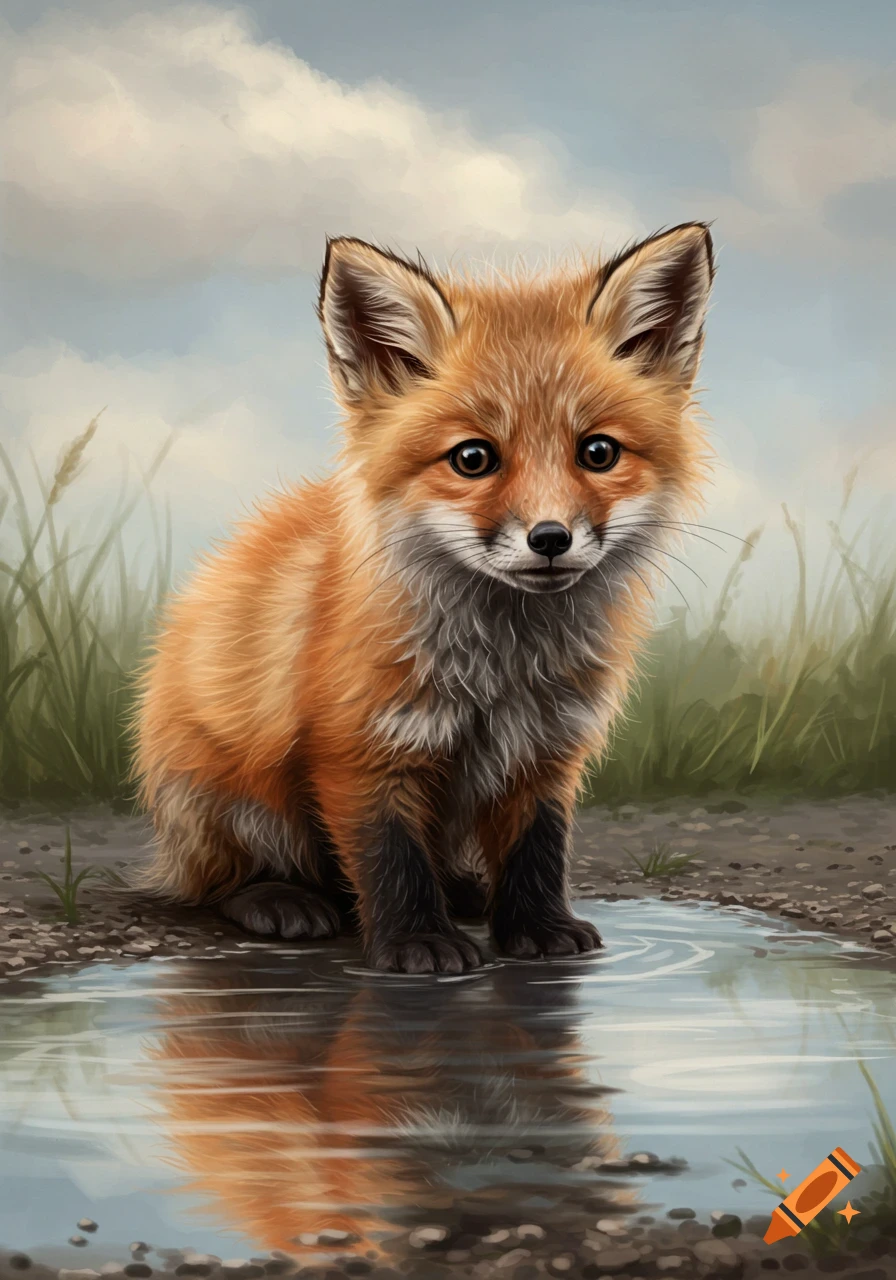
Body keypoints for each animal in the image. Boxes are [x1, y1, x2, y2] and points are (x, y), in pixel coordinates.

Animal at [131, 221, 715, 975]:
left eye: (598, 452)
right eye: (472, 459)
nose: (550, 538)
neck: (501, 670)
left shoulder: (547, 751)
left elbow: (537, 850)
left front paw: (537, 928)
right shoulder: (360, 748)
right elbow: (390, 859)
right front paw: (416, 943)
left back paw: (463, 891)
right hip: (232, 796)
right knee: (219, 885)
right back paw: (280, 900)